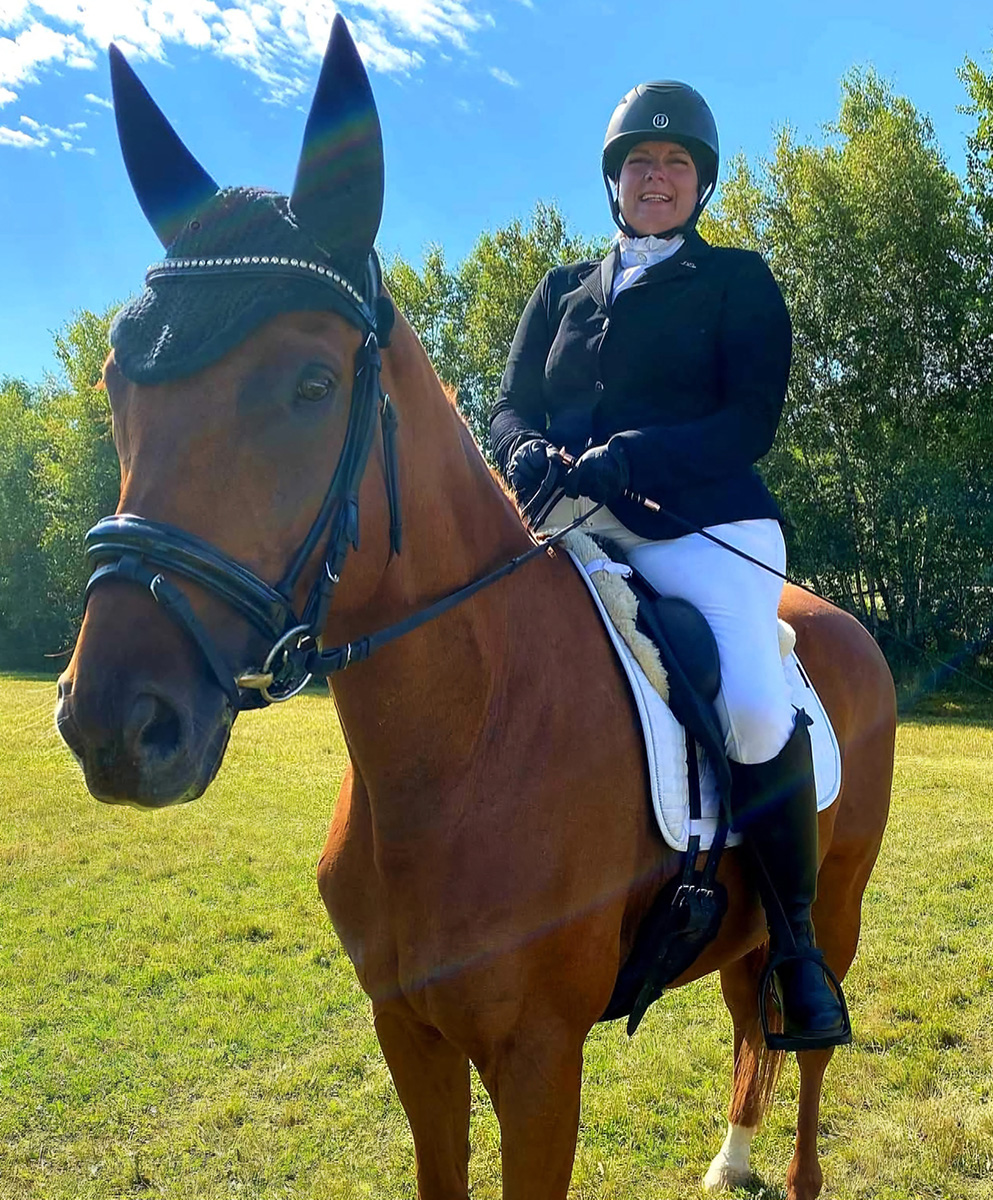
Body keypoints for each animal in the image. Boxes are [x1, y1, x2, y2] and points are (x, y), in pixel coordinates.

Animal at [55, 18, 895, 1200]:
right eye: (114, 386)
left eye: (313, 386)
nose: (116, 726)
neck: (464, 736)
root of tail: (844, 623)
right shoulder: (409, 1035)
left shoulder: (539, 1060)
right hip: (745, 928)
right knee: (745, 1013)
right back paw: (729, 1157)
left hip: (840, 900)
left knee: (803, 1032)